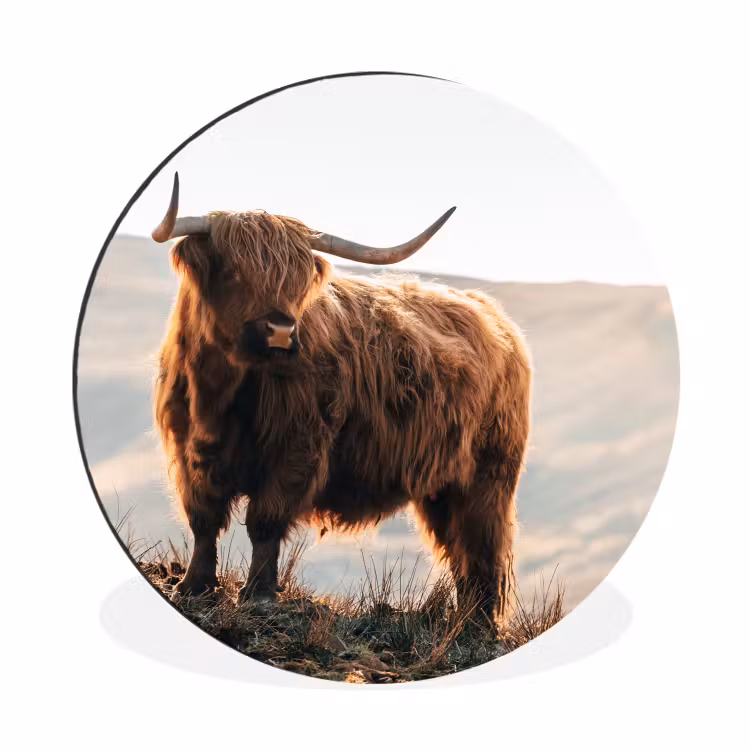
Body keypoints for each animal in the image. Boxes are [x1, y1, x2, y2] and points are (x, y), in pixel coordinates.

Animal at [152, 172, 532, 625]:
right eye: (234, 272)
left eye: (297, 281)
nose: (281, 331)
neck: (219, 393)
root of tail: (494, 316)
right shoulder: (188, 449)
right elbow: (203, 519)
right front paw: (194, 586)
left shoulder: (297, 449)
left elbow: (265, 521)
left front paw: (259, 595)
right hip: (441, 486)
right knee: (459, 548)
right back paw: (463, 620)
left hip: (488, 476)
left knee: (481, 546)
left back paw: (477, 625)